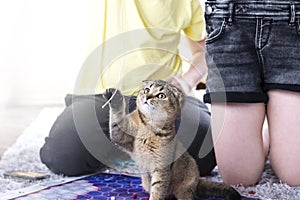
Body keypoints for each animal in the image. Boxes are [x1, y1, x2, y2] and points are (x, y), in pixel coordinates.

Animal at [103, 80, 241, 200]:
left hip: (185, 185)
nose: (147, 96)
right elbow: (116, 122)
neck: (149, 127)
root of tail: (197, 182)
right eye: (147, 89)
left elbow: (158, 189)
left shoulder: (161, 166)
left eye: (161, 95)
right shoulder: (122, 137)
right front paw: (114, 98)